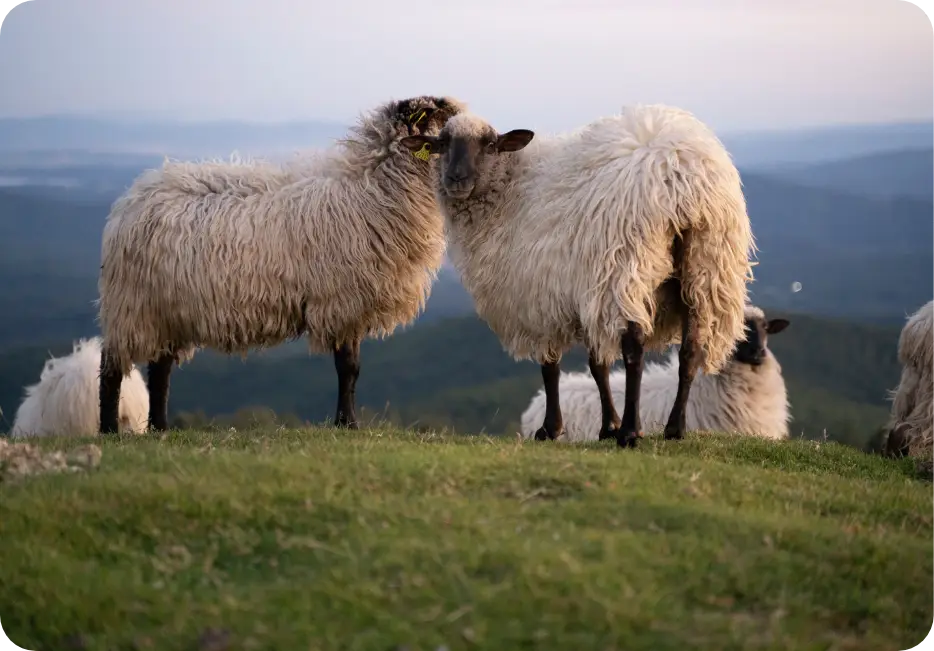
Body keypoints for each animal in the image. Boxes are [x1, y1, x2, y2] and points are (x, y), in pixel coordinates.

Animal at [97, 95, 466, 434]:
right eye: (442, 122)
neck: (371, 191)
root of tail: (131, 198)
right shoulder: (340, 300)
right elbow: (348, 367)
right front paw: (347, 423)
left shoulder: (350, 304)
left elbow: (352, 367)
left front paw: (347, 421)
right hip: (132, 304)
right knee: (112, 367)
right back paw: (110, 429)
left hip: (166, 309)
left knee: (160, 369)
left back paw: (160, 428)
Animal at [400, 104, 755, 447]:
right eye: (441, 144)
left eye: (489, 145)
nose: (456, 178)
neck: (509, 190)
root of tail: (683, 174)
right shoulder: (582, 291)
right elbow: (597, 365)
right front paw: (607, 426)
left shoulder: (540, 296)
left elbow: (550, 367)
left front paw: (553, 428)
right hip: (707, 267)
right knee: (691, 349)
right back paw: (674, 428)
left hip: (628, 266)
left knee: (634, 348)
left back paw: (631, 432)